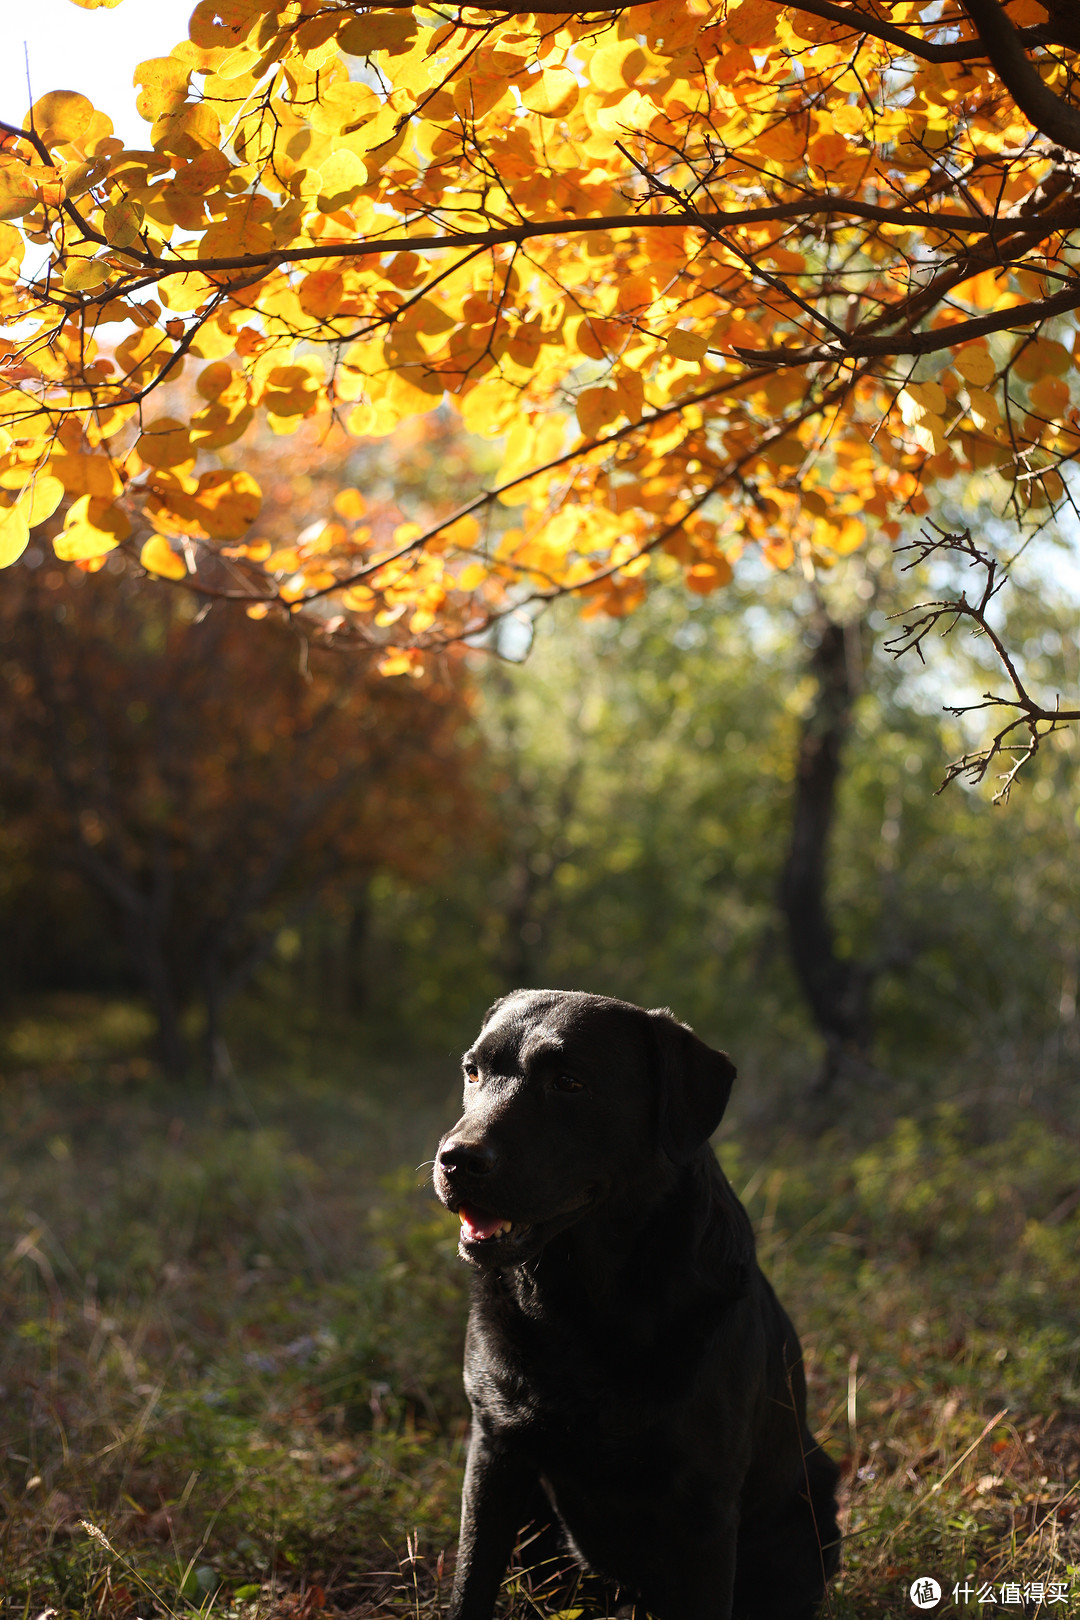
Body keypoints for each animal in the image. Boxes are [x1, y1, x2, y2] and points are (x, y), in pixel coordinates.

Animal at [433, 984, 841, 1620]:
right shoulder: (495, 1450)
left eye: (568, 1082)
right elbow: (471, 1582)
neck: (584, 1301)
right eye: (473, 1071)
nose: (456, 1160)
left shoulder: (704, 1503)